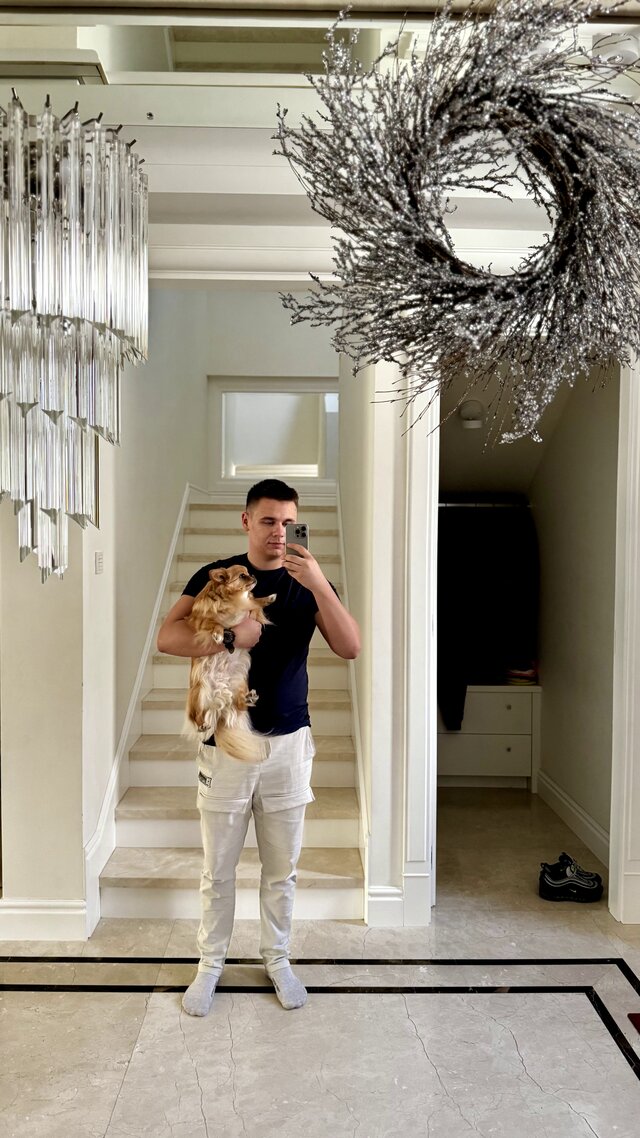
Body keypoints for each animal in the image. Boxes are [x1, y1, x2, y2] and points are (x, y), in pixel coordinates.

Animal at [184, 564, 276, 762]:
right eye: (242, 576)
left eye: (248, 572)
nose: (253, 575)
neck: (233, 600)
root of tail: (220, 704)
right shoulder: (199, 621)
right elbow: (213, 622)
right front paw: (219, 634)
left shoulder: (251, 612)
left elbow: (255, 603)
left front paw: (268, 598)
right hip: (199, 692)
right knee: (197, 715)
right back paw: (202, 724)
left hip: (239, 684)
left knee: (239, 704)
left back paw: (248, 698)